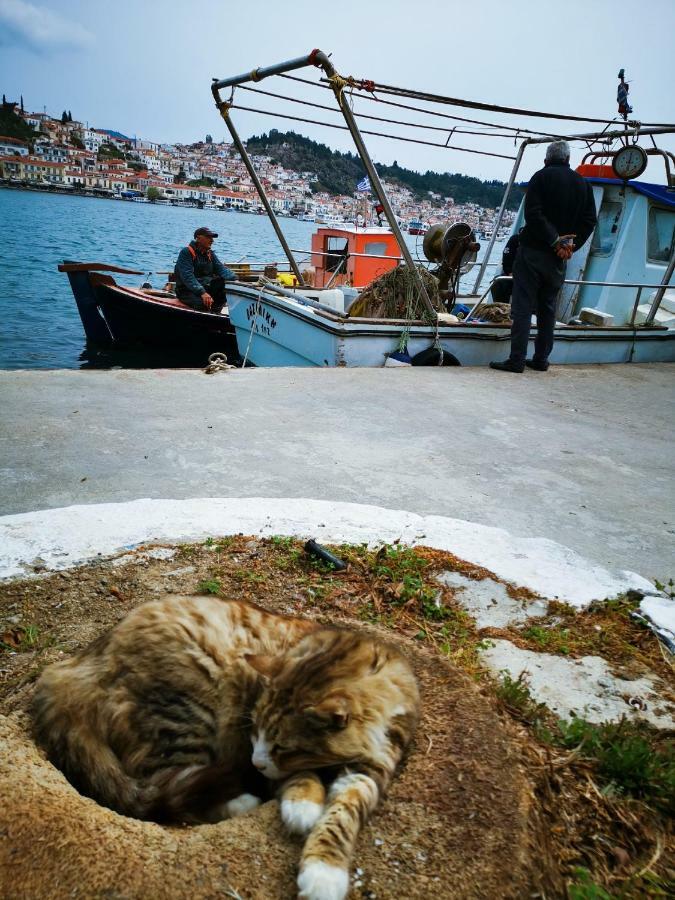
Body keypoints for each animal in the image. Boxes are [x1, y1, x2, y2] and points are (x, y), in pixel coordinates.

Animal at [35, 596, 422, 900]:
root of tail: (79, 665)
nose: (256, 763)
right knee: (167, 789)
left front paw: (323, 873)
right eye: (255, 732)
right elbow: (300, 780)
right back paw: (240, 801)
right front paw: (302, 808)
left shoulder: (371, 770)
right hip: (186, 715)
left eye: (282, 746)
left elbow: (342, 817)